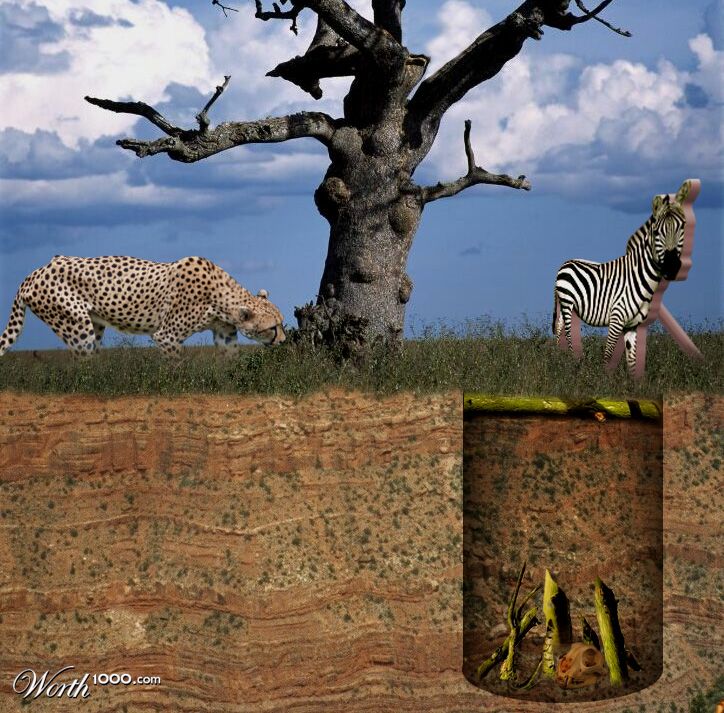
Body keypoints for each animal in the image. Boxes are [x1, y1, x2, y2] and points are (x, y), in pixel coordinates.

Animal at [0, 255, 286, 358]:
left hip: (93, 327)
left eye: (282, 323)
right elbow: (176, 364)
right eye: (273, 328)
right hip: (77, 326)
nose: (283, 340)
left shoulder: (224, 333)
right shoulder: (167, 336)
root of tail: (35, 272)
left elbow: (230, 360)